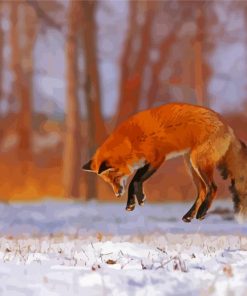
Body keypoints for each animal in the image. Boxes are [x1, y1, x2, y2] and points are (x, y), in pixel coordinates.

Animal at [82, 103, 247, 221]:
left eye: (115, 178)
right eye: (109, 182)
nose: (117, 195)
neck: (130, 142)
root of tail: (227, 125)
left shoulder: (157, 158)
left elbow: (135, 181)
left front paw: (137, 199)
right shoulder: (146, 162)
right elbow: (134, 182)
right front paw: (134, 201)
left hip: (198, 164)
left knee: (212, 188)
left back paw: (201, 213)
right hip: (191, 167)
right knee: (202, 191)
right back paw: (189, 215)